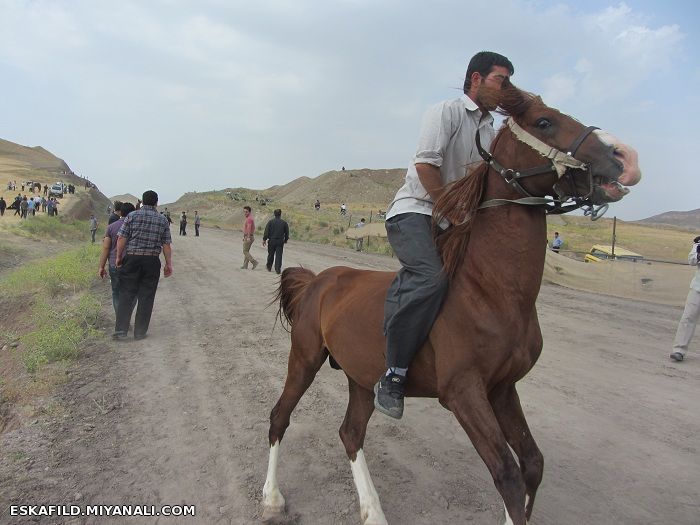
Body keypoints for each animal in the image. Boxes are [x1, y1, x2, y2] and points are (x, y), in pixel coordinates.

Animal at [262, 84, 640, 520]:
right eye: (544, 122)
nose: (625, 158)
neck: (490, 290)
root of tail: (318, 281)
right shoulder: (464, 393)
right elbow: (508, 476)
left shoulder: (502, 389)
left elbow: (532, 464)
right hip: (305, 359)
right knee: (279, 417)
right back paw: (272, 497)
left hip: (361, 377)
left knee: (350, 433)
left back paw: (374, 512)